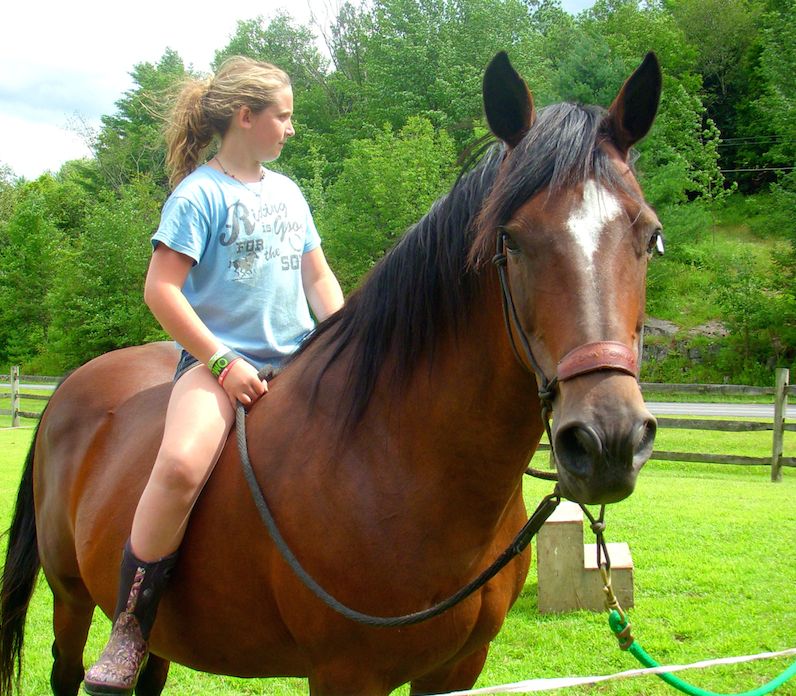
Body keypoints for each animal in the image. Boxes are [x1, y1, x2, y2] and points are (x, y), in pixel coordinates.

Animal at [0, 51, 662, 695]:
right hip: (70, 596)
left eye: (649, 235)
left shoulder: (456, 669)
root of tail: (68, 390)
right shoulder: (347, 672)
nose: (607, 441)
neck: (393, 457)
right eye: (513, 240)